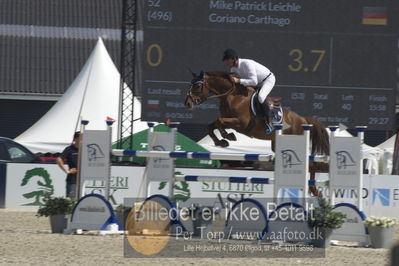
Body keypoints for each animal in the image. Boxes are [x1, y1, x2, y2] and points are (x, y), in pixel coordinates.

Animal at [186, 70, 330, 195]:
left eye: (197, 85)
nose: (187, 103)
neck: (232, 96)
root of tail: (303, 120)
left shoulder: (240, 123)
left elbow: (219, 122)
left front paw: (228, 136)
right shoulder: (229, 120)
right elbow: (211, 126)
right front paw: (220, 142)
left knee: (311, 165)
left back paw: (313, 189)